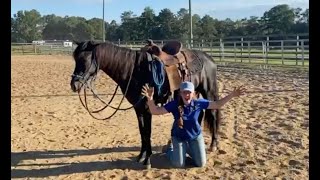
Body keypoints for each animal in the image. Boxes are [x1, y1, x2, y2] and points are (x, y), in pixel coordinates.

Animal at [69, 40, 220, 168]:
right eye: (75, 59)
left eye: (84, 60)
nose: (74, 85)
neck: (134, 70)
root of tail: (209, 59)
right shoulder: (138, 108)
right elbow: (142, 132)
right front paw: (141, 156)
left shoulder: (147, 109)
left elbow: (147, 133)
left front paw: (147, 160)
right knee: (200, 114)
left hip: (209, 91)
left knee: (213, 114)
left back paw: (213, 145)